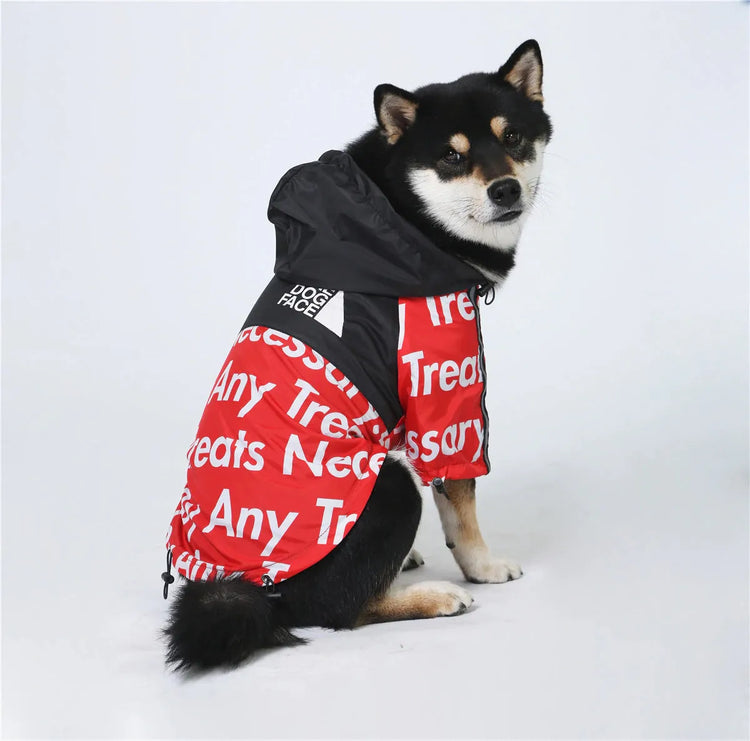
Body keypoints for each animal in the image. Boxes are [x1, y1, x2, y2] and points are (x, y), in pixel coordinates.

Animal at [163, 39, 552, 672]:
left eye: (513, 136)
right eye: (451, 156)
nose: (505, 190)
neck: (400, 225)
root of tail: (250, 589)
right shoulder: (446, 395)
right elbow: (460, 499)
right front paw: (482, 567)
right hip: (389, 487)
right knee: (337, 612)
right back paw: (432, 597)